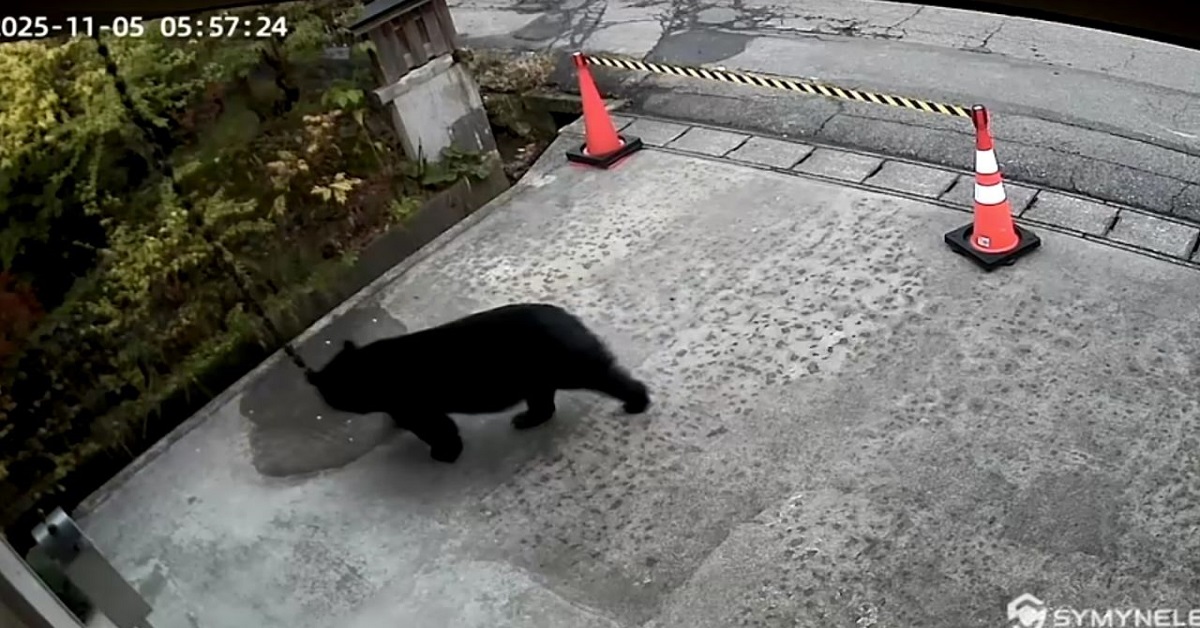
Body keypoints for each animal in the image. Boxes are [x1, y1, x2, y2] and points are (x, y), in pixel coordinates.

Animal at [304, 303, 650, 463]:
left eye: (330, 395)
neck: (368, 372)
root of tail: (570, 319)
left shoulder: (412, 402)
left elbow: (435, 426)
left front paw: (444, 452)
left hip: (564, 361)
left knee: (603, 376)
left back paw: (637, 400)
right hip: (534, 372)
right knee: (542, 399)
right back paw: (526, 419)